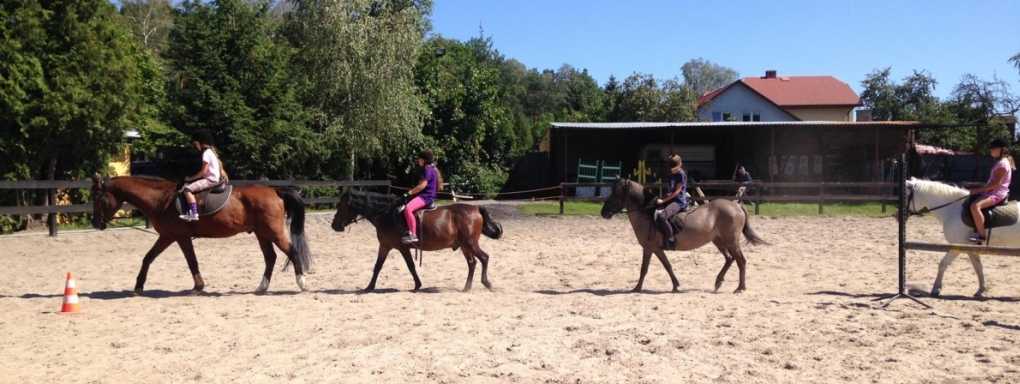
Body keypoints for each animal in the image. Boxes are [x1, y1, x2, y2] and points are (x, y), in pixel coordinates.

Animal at [89, 175, 312, 296]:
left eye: (97, 198)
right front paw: (138, 287)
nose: (95, 223)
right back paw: (261, 287)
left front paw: (198, 287)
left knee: (291, 251)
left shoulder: (181, 237)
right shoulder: (167, 236)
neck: (161, 199)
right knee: (270, 257)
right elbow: (148, 258)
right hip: (261, 233)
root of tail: (275, 191)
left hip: (272, 232)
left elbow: (191, 261)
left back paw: (301, 283)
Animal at [332, 188, 503, 290]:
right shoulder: (385, 246)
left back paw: (487, 283)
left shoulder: (402, 247)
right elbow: (377, 266)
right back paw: (467, 287)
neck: (387, 213)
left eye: (341, 206)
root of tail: (476, 209)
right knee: (472, 263)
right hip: (464, 245)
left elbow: (410, 266)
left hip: (470, 243)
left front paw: (417, 285)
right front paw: (369, 287)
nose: (334, 225)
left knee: (484, 258)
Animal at [595, 177, 767, 294]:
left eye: (616, 194)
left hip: (732, 241)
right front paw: (676, 286)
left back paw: (740, 287)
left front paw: (636, 288)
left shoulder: (648, 248)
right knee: (730, 259)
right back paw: (718, 283)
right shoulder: (658, 249)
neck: (647, 214)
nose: (604, 212)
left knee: (740, 261)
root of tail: (736, 205)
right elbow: (668, 266)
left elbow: (644, 269)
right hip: (718, 240)